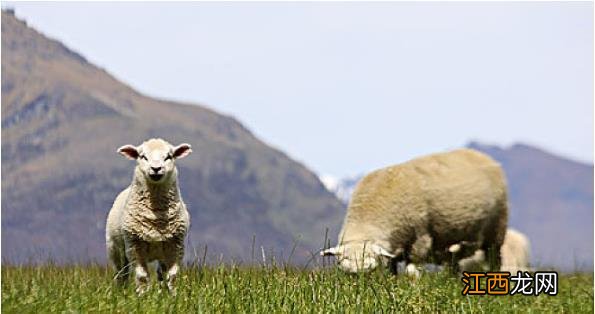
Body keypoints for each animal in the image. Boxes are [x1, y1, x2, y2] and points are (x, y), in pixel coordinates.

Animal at [106, 138, 192, 294]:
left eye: (169, 156)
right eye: (143, 156)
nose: (156, 168)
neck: (156, 217)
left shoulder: (176, 246)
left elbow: (172, 276)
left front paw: (173, 295)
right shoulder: (134, 246)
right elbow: (142, 276)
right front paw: (142, 295)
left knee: (160, 274)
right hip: (115, 249)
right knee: (121, 274)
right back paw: (121, 292)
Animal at [322, 148, 508, 274]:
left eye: (371, 271)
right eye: (349, 275)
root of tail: (478, 154)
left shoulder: (420, 239)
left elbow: (412, 271)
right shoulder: (393, 248)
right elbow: (391, 272)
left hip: (496, 228)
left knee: (494, 258)